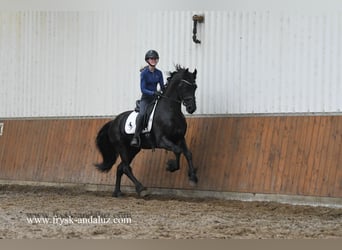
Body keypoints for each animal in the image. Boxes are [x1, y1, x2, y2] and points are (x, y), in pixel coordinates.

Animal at [95, 66, 199, 197]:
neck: (171, 111)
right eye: (184, 86)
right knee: (126, 168)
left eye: (195, 87)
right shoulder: (162, 141)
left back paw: (117, 192)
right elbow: (178, 150)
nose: (191, 108)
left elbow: (188, 154)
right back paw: (141, 189)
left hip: (133, 150)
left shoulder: (179, 138)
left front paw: (193, 178)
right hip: (122, 147)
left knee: (120, 167)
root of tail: (113, 121)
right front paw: (171, 166)